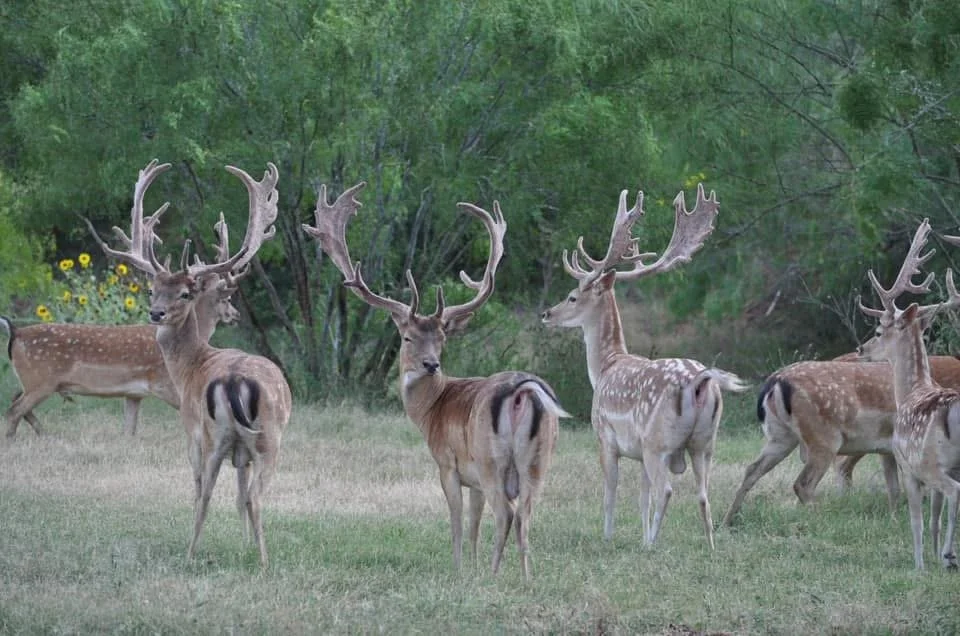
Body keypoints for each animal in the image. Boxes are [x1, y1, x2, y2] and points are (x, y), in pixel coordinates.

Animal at [1, 237, 243, 439]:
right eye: (227, 299)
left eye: (184, 294)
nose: (236, 314)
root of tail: (16, 333)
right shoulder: (167, 384)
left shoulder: (133, 394)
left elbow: (129, 431)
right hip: (40, 380)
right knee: (13, 411)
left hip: (33, 381)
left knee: (16, 403)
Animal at [88, 159, 292, 568]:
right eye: (152, 289)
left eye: (184, 293)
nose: (156, 313)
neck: (193, 364)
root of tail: (233, 381)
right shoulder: (241, 452)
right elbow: (239, 497)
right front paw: (244, 545)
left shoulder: (190, 430)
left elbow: (200, 490)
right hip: (263, 435)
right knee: (250, 495)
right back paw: (258, 555)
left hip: (217, 435)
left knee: (209, 492)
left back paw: (195, 553)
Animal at [303, 182, 569, 579]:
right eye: (408, 337)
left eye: (441, 338)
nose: (431, 364)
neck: (431, 411)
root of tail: (523, 391)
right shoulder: (473, 479)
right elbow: (474, 523)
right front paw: (472, 567)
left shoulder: (448, 462)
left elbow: (457, 522)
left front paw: (460, 569)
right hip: (539, 460)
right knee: (526, 516)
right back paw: (525, 578)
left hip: (491, 458)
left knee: (506, 514)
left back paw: (495, 576)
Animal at [541, 184, 748, 548]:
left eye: (572, 297)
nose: (547, 314)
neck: (605, 367)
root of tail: (701, 382)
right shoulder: (637, 451)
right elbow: (641, 496)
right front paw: (636, 533)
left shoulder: (604, 436)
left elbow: (611, 492)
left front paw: (608, 536)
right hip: (706, 443)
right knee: (703, 494)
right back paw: (708, 545)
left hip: (658, 441)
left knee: (667, 490)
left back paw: (652, 543)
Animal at [857, 217, 960, 569]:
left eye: (878, 331)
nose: (861, 349)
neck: (911, 392)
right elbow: (934, 518)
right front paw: (933, 555)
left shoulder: (909, 466)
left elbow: (917, 520)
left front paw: (920, 564)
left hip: (933, 462)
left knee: (956, 491)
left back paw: (950, 554)